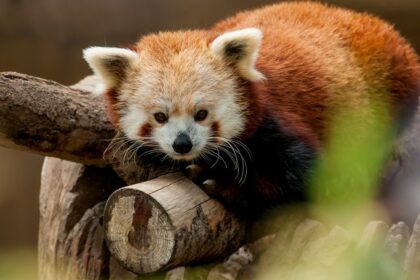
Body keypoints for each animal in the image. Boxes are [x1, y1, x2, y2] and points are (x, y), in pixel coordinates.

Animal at [83, 1, 418, 217]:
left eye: (202, 114)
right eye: (160, 117)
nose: (182, 144)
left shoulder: (279, 121)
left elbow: (306, 177)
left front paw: (223, 185)